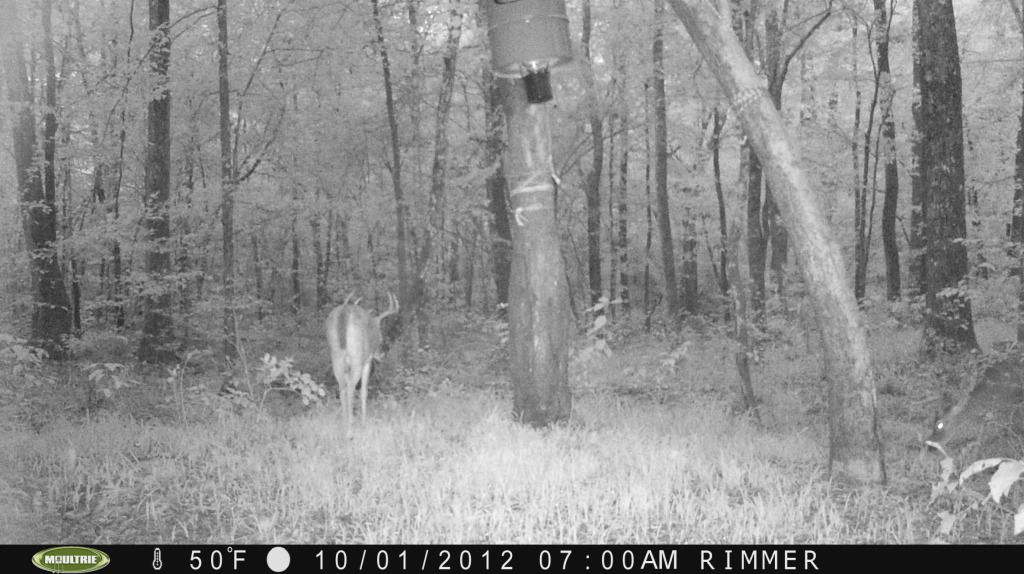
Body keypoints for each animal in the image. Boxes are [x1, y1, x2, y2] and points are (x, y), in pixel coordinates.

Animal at [325, 293, 399, 439]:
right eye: (381, 337)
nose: (381, 355)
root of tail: (344, 314)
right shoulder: (367, 361)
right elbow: (364, 390)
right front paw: (364, 423)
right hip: (357, 358)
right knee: (351, 387)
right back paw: (350, 430)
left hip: (336, 357)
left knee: (342, 387)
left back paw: (344, 425)